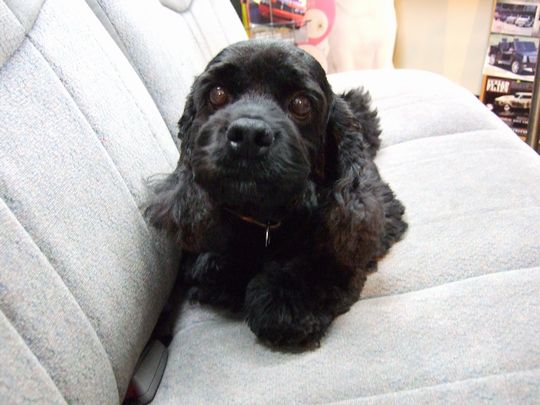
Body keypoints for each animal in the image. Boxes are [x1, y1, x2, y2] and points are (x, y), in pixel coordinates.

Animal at [147, 39, 407, 348]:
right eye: (218, 94)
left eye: (301, 103)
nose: (248, 134)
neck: (265, 221)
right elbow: (212, 267)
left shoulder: (375, 218)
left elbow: (323, 259)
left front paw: (285, 300)